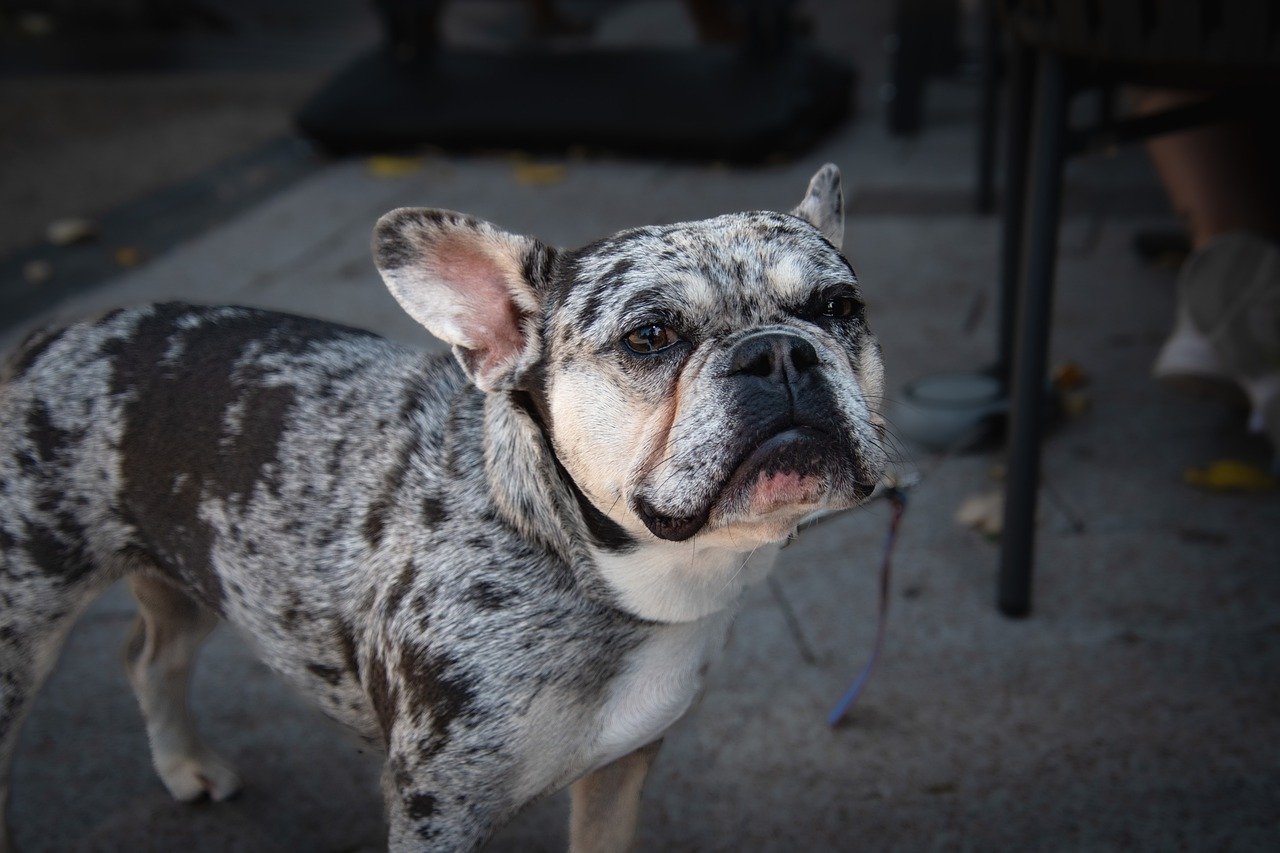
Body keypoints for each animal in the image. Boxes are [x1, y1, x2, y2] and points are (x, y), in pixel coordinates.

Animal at [0, 162, 885, 845]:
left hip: (189, 567)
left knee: (151, 656)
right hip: (24, 622)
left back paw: (184, 764)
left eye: (839, 309)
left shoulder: (620, 772)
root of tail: (58, 335)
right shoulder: (439, 807)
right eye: (650, 336)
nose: (778, 352)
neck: (599, 569)